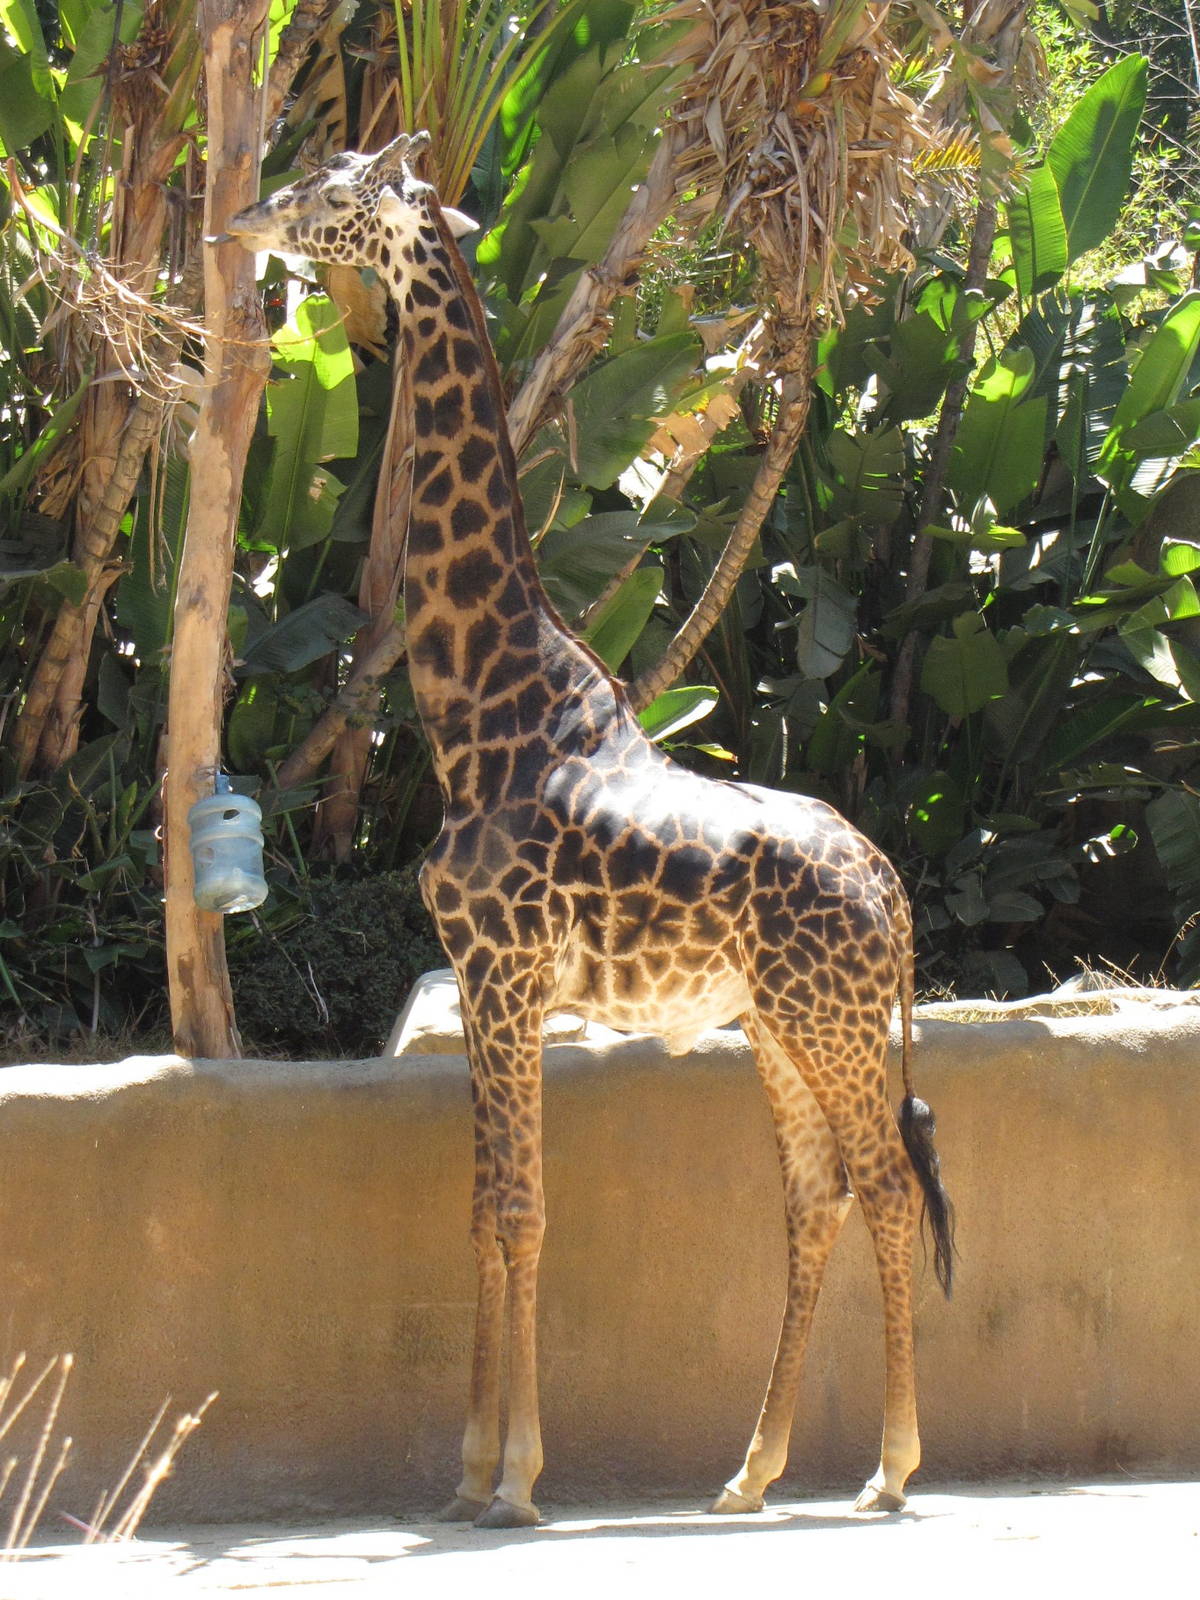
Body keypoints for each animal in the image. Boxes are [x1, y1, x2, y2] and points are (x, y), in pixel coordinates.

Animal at [226, 132, 954, 1531]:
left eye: (335, 196)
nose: (241, 220)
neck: (479, 706)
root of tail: (891, 883)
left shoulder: (508, 973)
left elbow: (521, 1211)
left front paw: (514, 1479)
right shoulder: (477, 978)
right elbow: (483, 1208)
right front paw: (468, 1472)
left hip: (832, 1025)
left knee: (889, 1185)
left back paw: (890, 1469)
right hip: (777, 1025)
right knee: (817, 1198)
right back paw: (750, 1470)